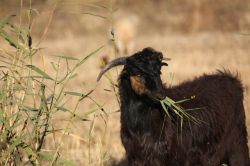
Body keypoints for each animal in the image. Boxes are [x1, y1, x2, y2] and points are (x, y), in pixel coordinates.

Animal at [96, 47, 249, 165]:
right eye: (138, 73)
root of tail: (232, 80)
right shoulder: (135, 157)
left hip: (238, 144)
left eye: (159, 72)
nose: (160, 95)